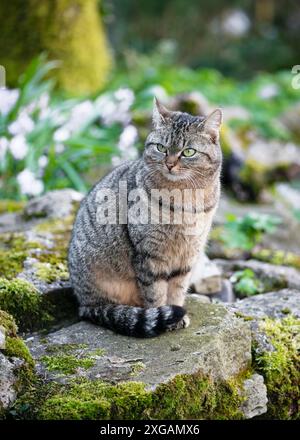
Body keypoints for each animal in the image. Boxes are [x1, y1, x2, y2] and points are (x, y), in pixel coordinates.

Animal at [68, 99, 223, 336]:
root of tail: (83, 304)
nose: (170, 164)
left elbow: (178, 289)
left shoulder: (187, 256)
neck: (184, 200)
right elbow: (155, 293)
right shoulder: (149, 254)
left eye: (188, 152)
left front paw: (177, 314)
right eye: (161, 148)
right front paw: (164, 315)